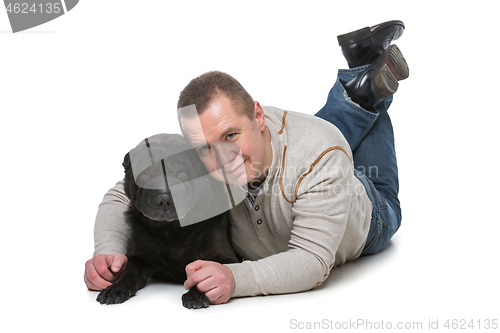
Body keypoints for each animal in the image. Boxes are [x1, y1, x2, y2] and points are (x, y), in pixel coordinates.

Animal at [97, 133, 240, 308]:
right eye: (146, 171)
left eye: (182, 173)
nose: (164, 199)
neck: (170, 232)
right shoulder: (139, 257)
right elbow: (128, 273)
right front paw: (115, 289)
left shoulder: (225, 257)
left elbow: (211, 271)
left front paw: (195, 294)